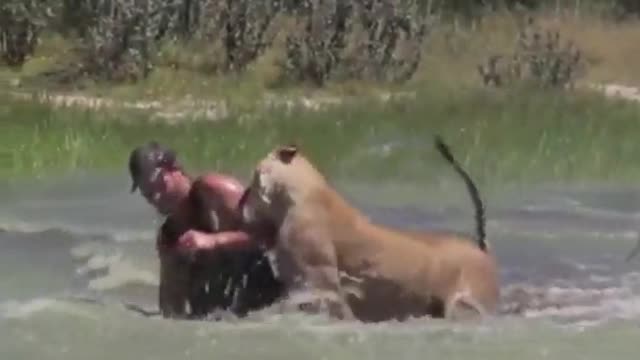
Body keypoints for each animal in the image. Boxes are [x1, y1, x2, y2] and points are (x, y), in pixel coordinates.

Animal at [240, 136, 500, 322]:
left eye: (253, 178)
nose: (240, 202)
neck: (305, 192)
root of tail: (482, 252)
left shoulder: (316, 287)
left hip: (463, 304)